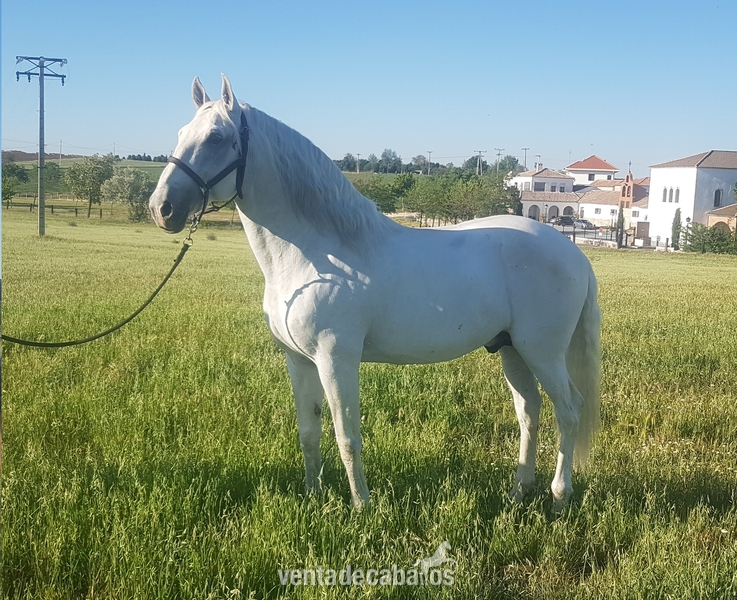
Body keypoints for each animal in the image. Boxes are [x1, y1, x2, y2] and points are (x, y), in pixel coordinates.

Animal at [149, 74, 601, 509]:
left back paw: (559, 498)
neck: (320, 255)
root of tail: (574, 254)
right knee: (530, 413)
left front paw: (362, 508)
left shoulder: (336, 360)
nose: (162, 208)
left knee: (569, 411)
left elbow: (347, 437)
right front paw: (313, 498)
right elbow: (309, 433)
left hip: (542, 352)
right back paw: (518, 493)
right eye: (181, 132)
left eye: (216, 138)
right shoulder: (298, 360)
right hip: (512, 350)